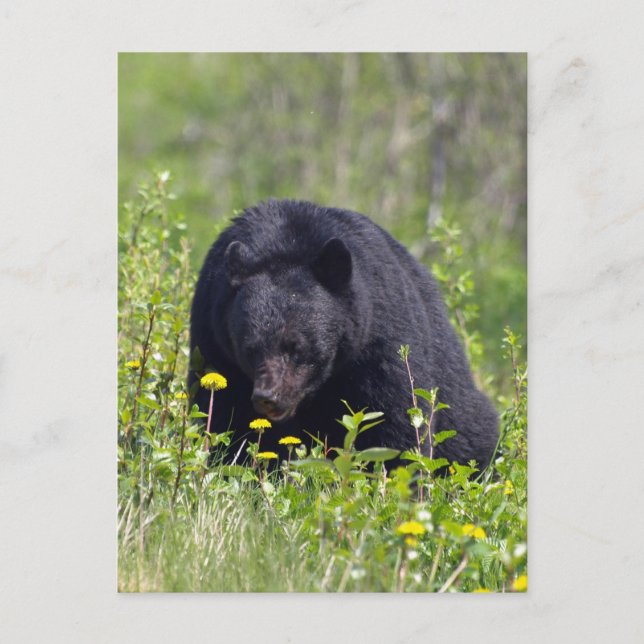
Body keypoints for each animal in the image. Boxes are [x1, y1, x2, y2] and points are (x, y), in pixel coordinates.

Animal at [189, 199, 498, 470]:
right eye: (249, 349)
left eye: (296, 347)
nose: (268, 396)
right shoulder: (213, 337)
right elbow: (226, 416)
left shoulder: (379, 337)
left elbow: (396, 416)